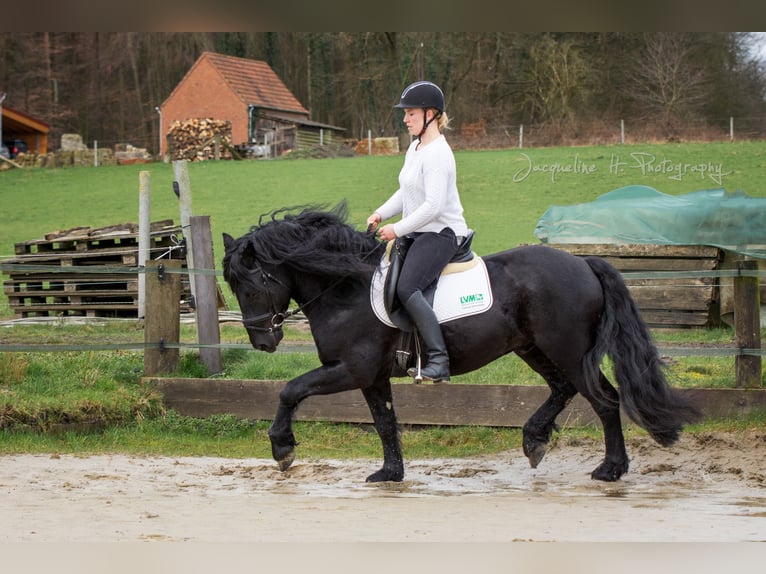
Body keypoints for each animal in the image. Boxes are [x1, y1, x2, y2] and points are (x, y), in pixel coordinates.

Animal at [222, 205, 704, 484]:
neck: (346, 288)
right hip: (533, 348)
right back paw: (534, 441)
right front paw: (389, 473)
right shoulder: (372, 376)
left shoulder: (352, 368)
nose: (263, 341)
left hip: (568, 349)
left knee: (604, 399)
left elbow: (291, 390)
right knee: (563, 390)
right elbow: (385, 422)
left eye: (252, 284)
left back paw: (610, 469)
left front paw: (282, 449)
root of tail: (583, 262)